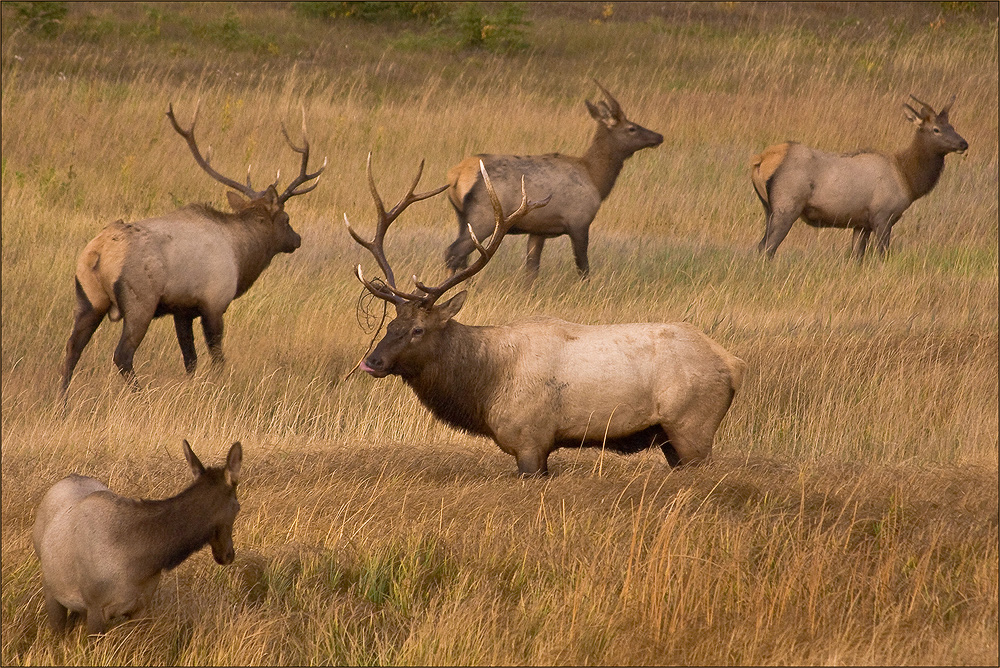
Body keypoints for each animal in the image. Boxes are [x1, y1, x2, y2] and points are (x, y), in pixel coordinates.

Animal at [33, 438, 242, 636]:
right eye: (237, 507)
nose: (228, 554)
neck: (142, 561)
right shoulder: (95, 607)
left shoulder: (141, 607)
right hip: (51, 588)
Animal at [58, 102, 326, 396]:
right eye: (287, 219)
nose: (297, 239)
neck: (242, 255)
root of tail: (97, 254)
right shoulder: (214, 302)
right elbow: (216, 357)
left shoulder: (182, 309)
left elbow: (190, 359)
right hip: (140, 300)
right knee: (122, 355)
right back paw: (142, 396)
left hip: (88, 299)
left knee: (71, 349)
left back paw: (63, 401)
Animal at [344, 154, 744, 478]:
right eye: (391, 324)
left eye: (418, 330)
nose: (372, 361)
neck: (484, 384)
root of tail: (733, 365)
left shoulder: (530, 439)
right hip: (672, 439)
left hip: (692, 427)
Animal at [446, 81, 664, 284]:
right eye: (632, 128)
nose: (659, 136)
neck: (596, 178)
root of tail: (456, 176)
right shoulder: (579, 221)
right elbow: (583, 267)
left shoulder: (538, 230)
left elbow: (532, 269)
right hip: (483, 216)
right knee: (453, 252)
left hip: (462, 217)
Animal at [752, 93, 964, 258]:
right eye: (936, 129)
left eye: (953, 127)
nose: (964, 143)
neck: (908, 180)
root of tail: (761, 160)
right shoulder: (883, 216)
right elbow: (882, 255)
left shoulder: (861, 224)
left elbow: (857, 257)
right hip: (787, 207)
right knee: (767, 248)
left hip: (768, 208)